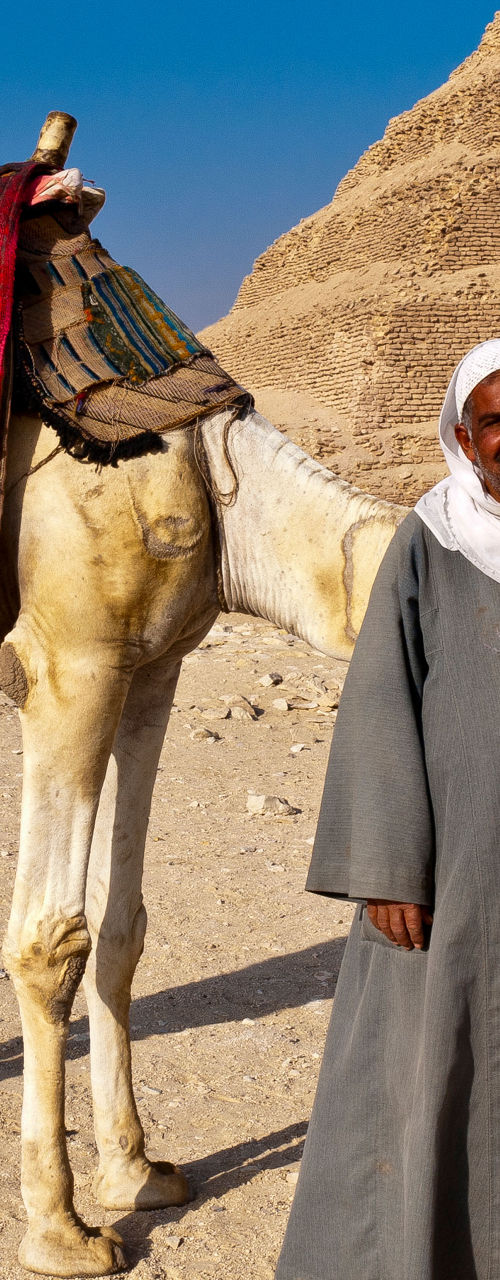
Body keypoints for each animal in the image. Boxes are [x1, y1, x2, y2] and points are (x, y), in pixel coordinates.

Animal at [0, 114, 406, 1276]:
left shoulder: (151, 672)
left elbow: (122, 921)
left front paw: (137, 1171)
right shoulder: (72, 667)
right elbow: (48, 938)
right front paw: (62, 1227)